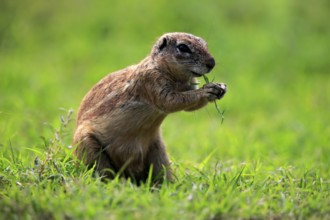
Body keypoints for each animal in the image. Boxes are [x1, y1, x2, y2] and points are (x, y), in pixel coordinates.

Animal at [73, 32, 227, 184]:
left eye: (205, 43)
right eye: (183, 47)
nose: (211, 63)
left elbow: (190, 106)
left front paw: (220, 87)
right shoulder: (151, 81)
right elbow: (171, 101)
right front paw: (207, 90)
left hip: (158, 152)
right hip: (89, 147)